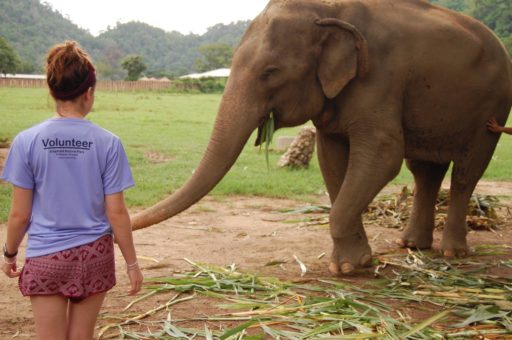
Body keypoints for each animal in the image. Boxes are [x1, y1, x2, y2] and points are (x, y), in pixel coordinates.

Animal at [132, 0, 512, 274]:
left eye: (271, 72)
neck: (330, 9)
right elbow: (331, 160)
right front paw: (353, 262)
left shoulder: (379, 78)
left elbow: (384, 155)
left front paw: (348, 268)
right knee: (425, 170)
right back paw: (411, 246)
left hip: (494, 106)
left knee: (465, 172)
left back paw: (452, 252)